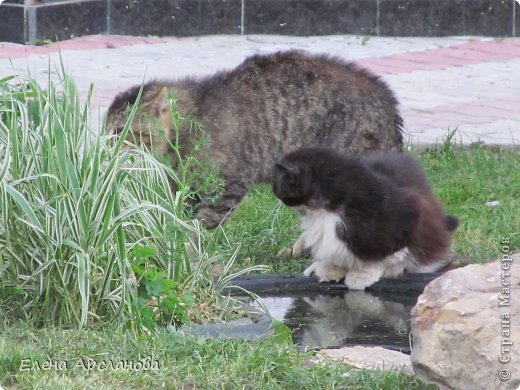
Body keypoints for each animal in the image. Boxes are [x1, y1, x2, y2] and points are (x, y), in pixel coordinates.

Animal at [105, 52, 404, 229]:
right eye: (106, 129)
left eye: (119, 130)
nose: (106, 146)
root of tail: (389, 103)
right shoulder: (183, 186)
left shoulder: (226, 185)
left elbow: (201, 225)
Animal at [274, 146, 458, 290]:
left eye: (277, 184)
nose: (275, 195)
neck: (321, 213)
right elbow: (334, 253)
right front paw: (330, 269)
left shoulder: (407, 217)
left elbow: (383, 256)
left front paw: (360, 276)